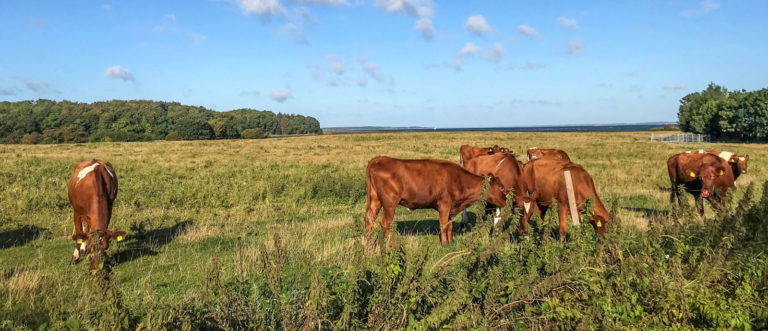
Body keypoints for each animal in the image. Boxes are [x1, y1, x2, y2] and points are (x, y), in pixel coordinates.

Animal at [364, 157, 508, 248]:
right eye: (501, 187)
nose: (506, 202)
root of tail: (379, 159)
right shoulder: (444, 204)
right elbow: (443, 225)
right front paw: (444, 245)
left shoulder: (451, 207)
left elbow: (449, 225)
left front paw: (451, 242)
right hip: (390, 203)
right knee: (384, 223)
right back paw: (391, 245)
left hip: (375, 200)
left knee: (369, 221)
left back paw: (368, 246)